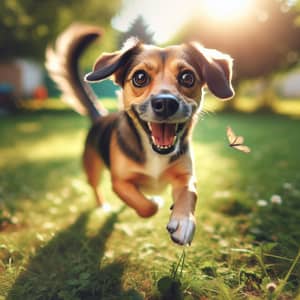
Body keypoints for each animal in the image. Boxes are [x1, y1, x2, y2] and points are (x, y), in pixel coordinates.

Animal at [46, 22, 234, 244]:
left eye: (187, 77)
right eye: (140, 77)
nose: (166, 103)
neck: (154, 152)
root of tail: (100, 117)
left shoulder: (185, 175)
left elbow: (190, 192)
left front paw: (184, 220)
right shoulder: (120, 182)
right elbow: (147, 206)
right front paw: (154, 200)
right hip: (92, 167)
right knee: (95, 187)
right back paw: (103, 205)